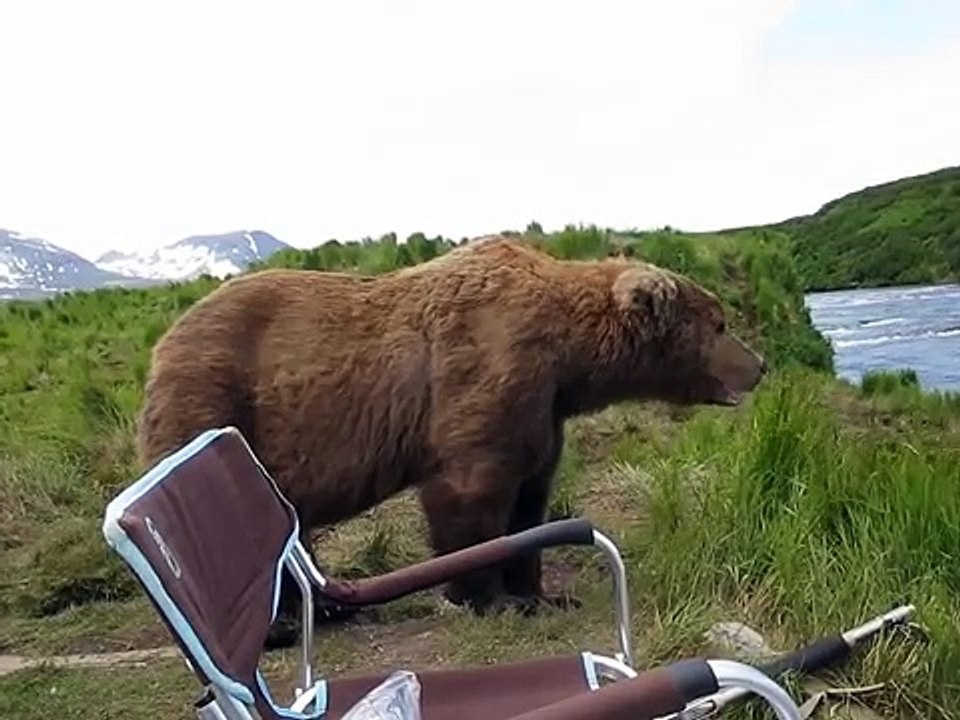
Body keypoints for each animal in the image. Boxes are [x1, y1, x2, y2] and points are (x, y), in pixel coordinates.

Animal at [135, 235, 767, 649]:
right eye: (719, 323)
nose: (759, 366)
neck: (568, 359)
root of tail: (162, 343)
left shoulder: (543, 413)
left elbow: (531, 499)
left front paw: (540, 593)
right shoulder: (483, 376)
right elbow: (472, 496)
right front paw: (488, 598)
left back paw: (328, 607)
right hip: (216, 404)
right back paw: (281, 626)